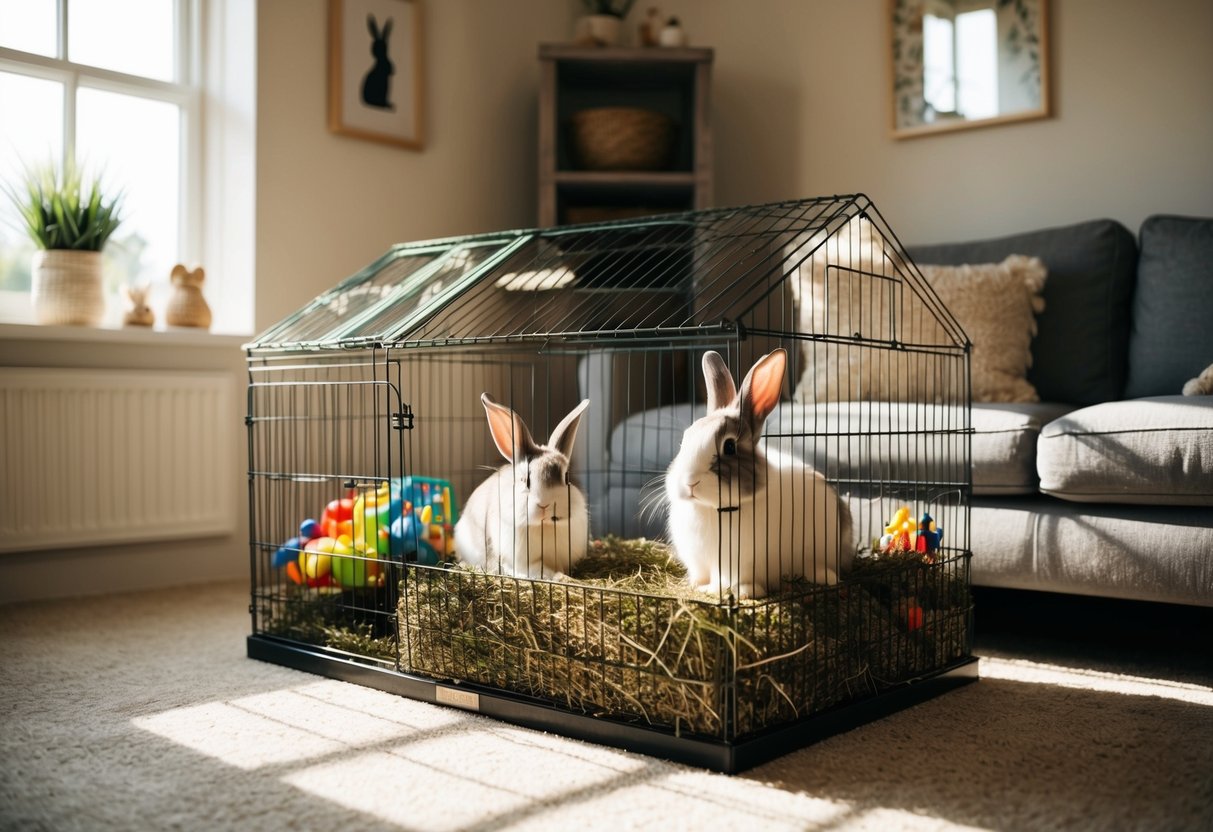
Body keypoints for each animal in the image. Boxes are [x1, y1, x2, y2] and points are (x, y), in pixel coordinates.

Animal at [454, 394, 591, 580]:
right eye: (525, 480)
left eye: (566, 477)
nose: (545, 505)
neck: (544, 526)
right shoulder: (520, 563)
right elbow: (538, 570)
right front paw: (561, 578)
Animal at [664, 348, 853, 599]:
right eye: (684, 440)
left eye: (729, 447)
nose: (689, 483)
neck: (715, 509)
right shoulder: (704, 562)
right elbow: (709, 578)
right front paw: (703, 587)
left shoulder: (740, 564)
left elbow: (737, 581)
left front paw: (745, 592)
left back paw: (825, 577)